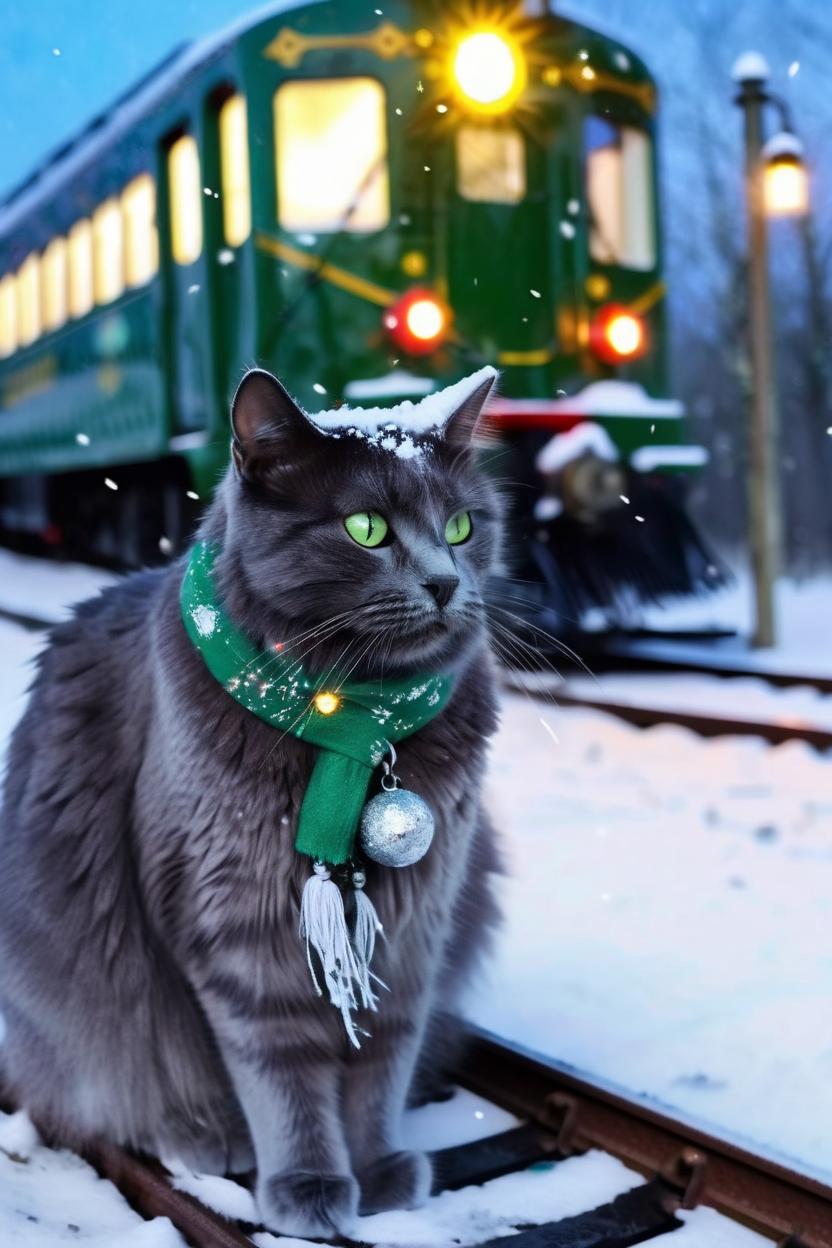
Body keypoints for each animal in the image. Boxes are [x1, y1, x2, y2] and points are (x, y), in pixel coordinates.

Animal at [0, 364, 501, 1238]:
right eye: (367, 528)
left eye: (463, 526)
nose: (445, 582)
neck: (349, 723)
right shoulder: (233, 922)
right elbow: (281, 1064)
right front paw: (310, 1183)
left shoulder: (417, 922)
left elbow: (382, 1049)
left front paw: (377, 1169)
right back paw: (204, 1134)